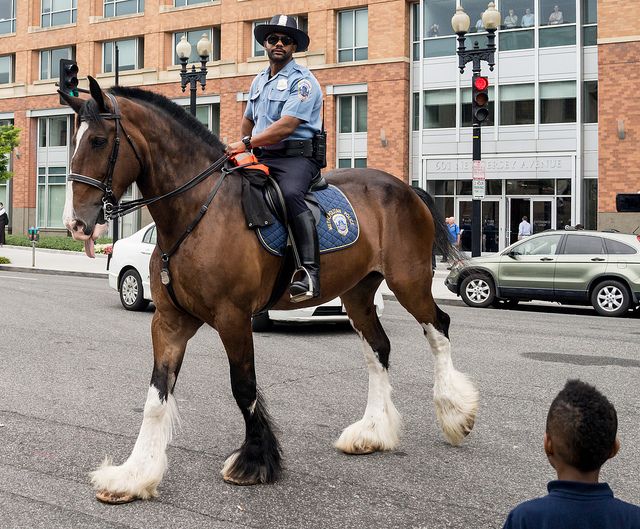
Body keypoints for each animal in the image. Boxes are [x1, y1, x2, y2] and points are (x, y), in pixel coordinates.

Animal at [62, 78, 478, 504]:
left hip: (408, 281)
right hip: (358, 293)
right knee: (378, 348)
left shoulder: (233, 317)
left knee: (438, 328)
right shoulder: (169, 321)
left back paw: (454, 413)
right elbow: (157, 396)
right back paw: (373, 431)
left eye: (98, 140)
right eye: (71, 140)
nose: (75, 223)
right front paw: (134, 474)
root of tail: (407, 189)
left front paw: (255, 460)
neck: (196, 211)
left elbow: (243, 387)